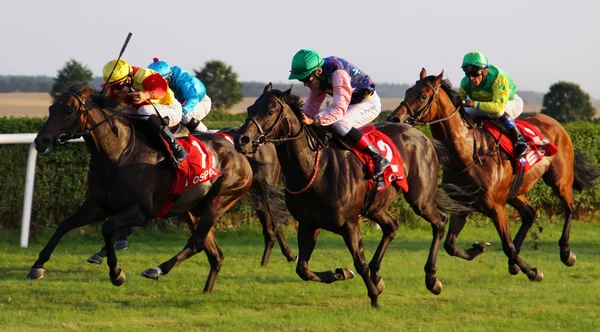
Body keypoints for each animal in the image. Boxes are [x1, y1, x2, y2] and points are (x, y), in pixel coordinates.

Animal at [27, 83, 260, 294]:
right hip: (192, 209)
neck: (118, 154)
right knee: (213, 253)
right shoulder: (98, 205)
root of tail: (237, 149)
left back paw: (157, 269)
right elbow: (65, 224)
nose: (41, 141)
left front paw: (116, 273)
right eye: (51, 108)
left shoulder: (142, 212)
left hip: (219, 200)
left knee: (196, 242)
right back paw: (205, 290)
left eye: (68, 111)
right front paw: (37, 266)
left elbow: (108, 227)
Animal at [237, 84, 472, 308]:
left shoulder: (349, 224)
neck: (313, 167)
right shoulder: (308, 224)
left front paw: (374, 296)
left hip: (420, 198)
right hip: (375, 205)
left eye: (270, 111)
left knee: (439, 223)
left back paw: (432, 279)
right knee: (392, 226)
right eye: (250, 108)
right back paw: (379, 275)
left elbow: (360, 263)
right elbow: (303, 269)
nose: (243, 139)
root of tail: (423, 137)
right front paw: (341, 273)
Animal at [386, 68, 596, 282]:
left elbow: (507, 246)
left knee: (570, 206)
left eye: (423, 95)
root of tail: (556, 124)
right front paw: (479, 248)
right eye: (407, 92)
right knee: (530, 213)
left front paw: (533, 272)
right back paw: (515, 263)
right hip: (516, 192)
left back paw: (566, 253)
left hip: (559, 180)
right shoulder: (463, 205)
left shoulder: (496, 207)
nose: (395, 118)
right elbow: (450, 245)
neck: (469, 153)